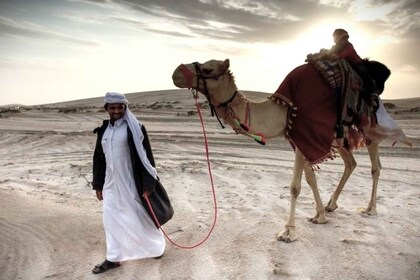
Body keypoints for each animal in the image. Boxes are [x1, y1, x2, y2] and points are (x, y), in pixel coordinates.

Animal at [170, 58, 410, 242]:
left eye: (208, 69)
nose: (176, 72)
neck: (283, 109)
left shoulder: (304, 133)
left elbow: (295, 186)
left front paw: (288, 232)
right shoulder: (297, 138)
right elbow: (311, 178)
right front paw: (320, 216)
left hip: (368, 126)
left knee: (375, 167)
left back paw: (370, 209)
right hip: (340, 137)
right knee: (351, 163)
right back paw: (332, 205)